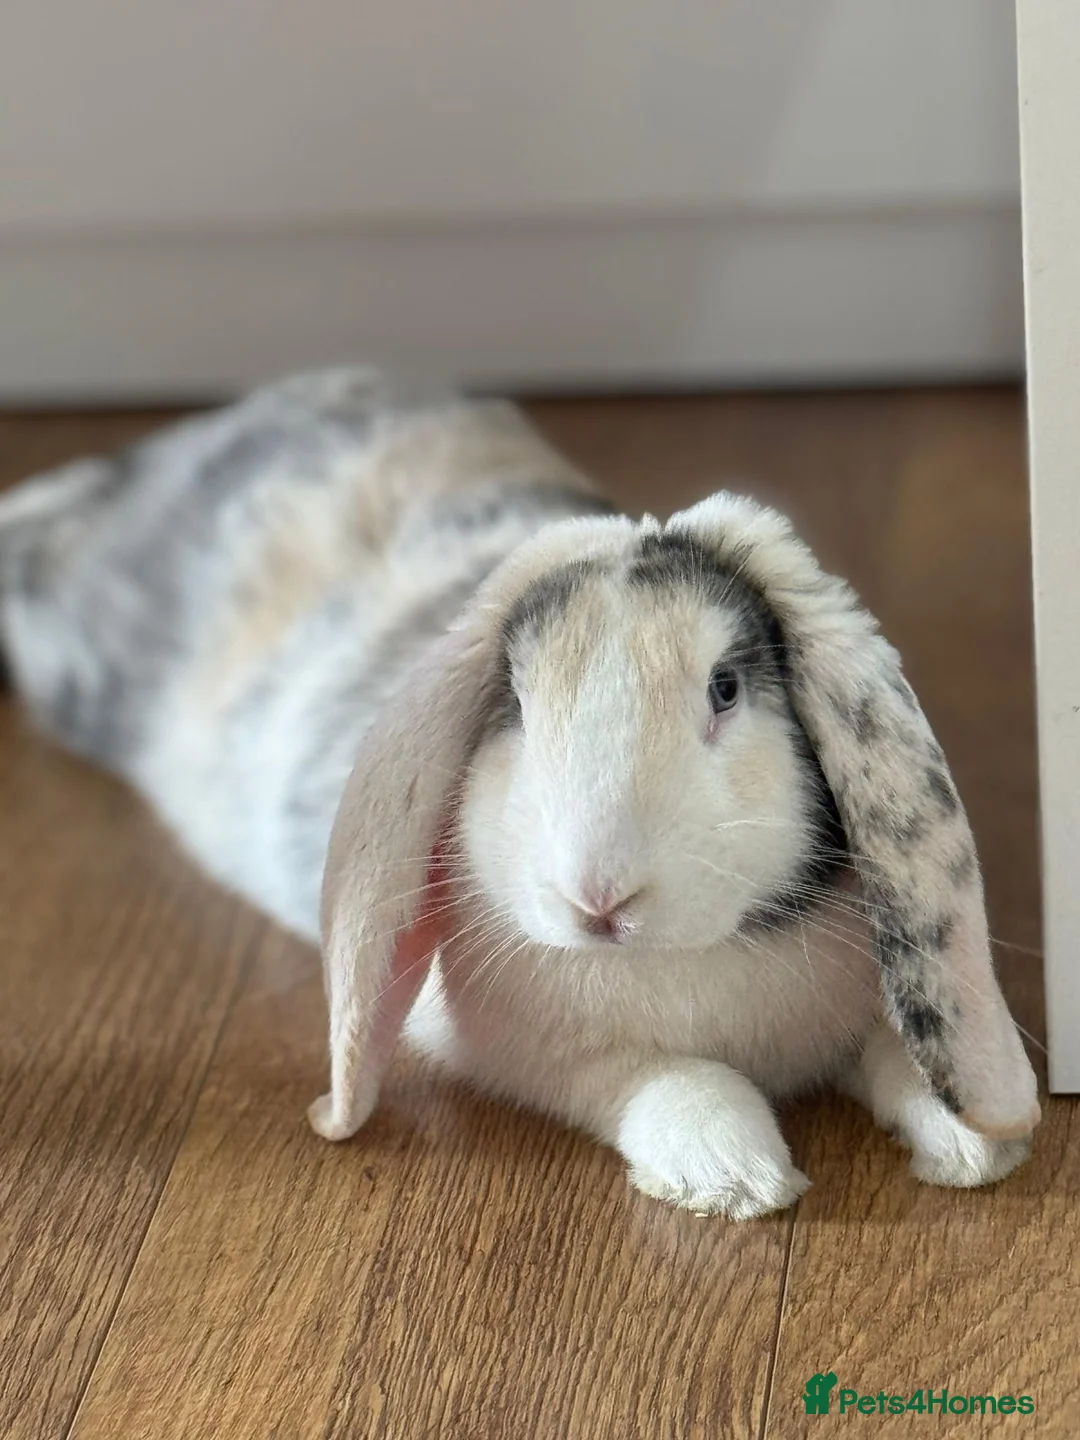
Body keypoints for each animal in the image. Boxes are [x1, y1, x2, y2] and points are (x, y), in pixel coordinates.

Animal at [0, 367, 1039, 1219]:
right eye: (518, 705)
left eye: (725, 689)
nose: (600, 897)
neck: (689, 957)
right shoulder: (543, 1055)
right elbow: (667, 1077)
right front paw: (734, 1176)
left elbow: (906, 1051)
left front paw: (977, 1147)